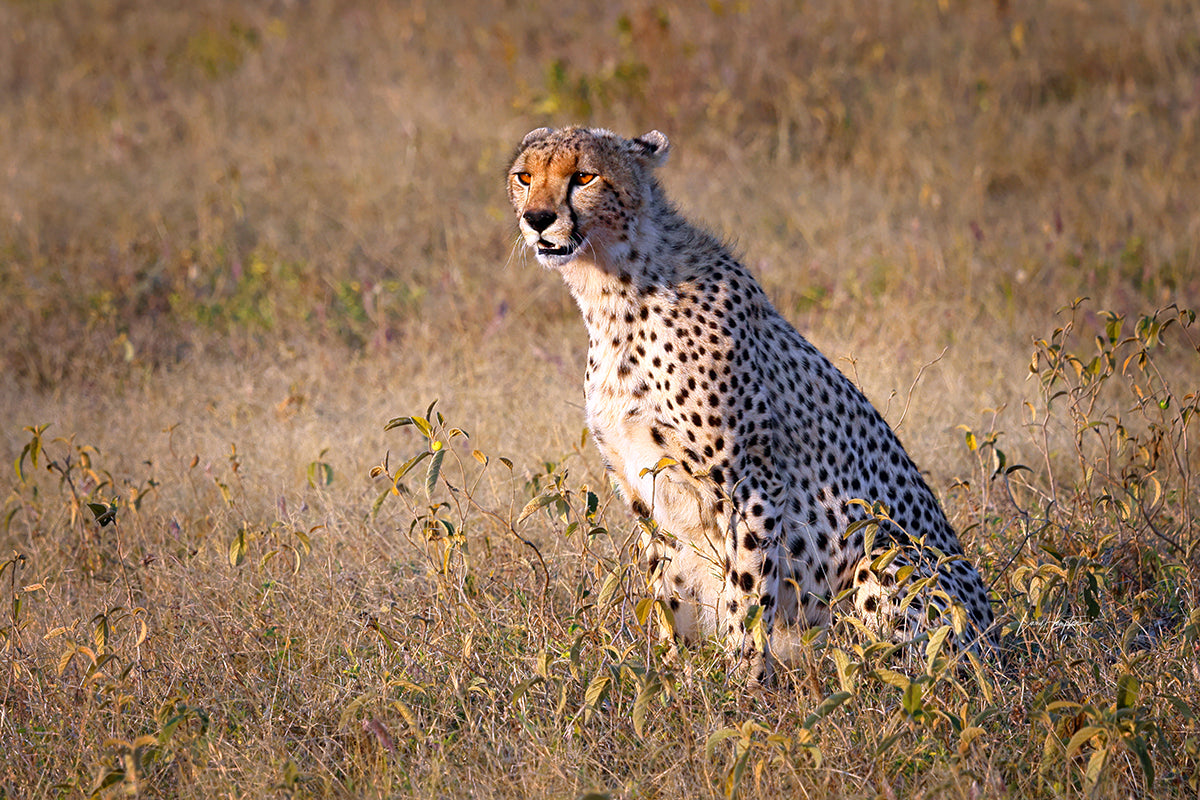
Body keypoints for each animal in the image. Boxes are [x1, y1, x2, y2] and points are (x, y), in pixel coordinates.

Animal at [507, 125, 996, 685]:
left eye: (584, 177)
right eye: (525, 177)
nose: (537, 218)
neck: (613, 291)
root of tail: (995, 638)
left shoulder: (752, 483)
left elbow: (745, 594)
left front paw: (741, 685)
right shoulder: (643, 485)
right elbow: (668, 590)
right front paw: (674, 675)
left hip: (888, 554)